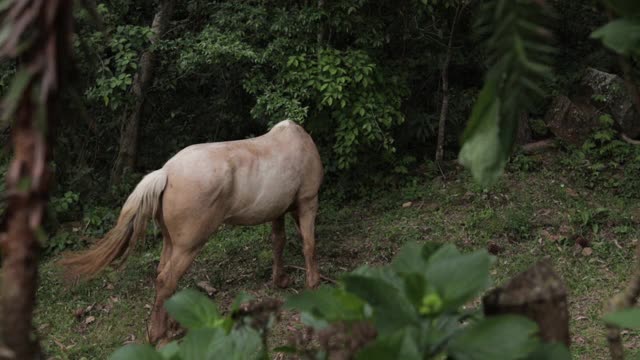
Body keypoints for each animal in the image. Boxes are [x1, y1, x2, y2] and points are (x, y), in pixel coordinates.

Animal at [59, 120, 322, 344]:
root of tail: (165, 172)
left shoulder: (278, 210)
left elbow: (279, 241)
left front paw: (281, 280)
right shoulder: (308, 203)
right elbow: (309, 246)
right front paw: (313, 286)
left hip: (171, 243)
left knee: (161, 273)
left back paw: (170, 327)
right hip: (189, 246)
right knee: (166, 280)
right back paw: (160, 336)